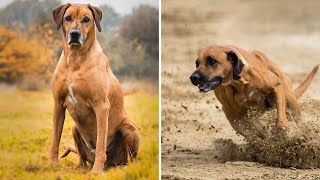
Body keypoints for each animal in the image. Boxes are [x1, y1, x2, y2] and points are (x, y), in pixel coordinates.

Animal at [50, 3, 139, 173]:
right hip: (74, 128)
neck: (75, 59)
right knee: (81, 157)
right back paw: (80, 167)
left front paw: (96, 171)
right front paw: (52, 165)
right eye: (68, 18)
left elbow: (100, 143)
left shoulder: (101, 106)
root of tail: (112, 164)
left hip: (129, 129)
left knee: (129, 159)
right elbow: (55, 139)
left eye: (86, 19)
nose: (75, 34)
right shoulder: (58, 104)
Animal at [190, 45, 318, 139]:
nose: (193, 77)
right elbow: (252, 130)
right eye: (197, 63)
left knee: (297, 119)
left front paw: (283, 127)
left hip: (290, 99)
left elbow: (281, 120)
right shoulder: (236, 115)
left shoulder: (276, 86)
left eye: (212, 61)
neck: (238, 83)